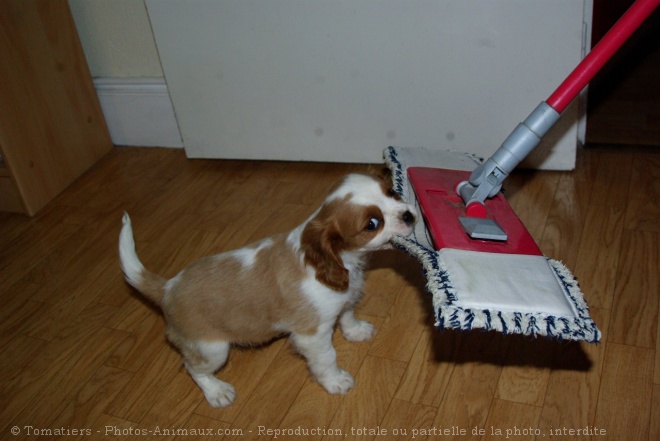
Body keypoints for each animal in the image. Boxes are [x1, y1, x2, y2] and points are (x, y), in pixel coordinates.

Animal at [118, 174, 416, 408]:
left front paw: (356, 331)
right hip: (212, 348)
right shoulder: (312, 334)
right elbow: (327, 358)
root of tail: (167, 287)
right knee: (192, 368)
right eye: (372, 224)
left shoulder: (342, 299)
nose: (409, 215)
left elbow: (347, 313)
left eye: (391, 191)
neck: (342, 261)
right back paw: (217, 392)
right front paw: (336, 381)